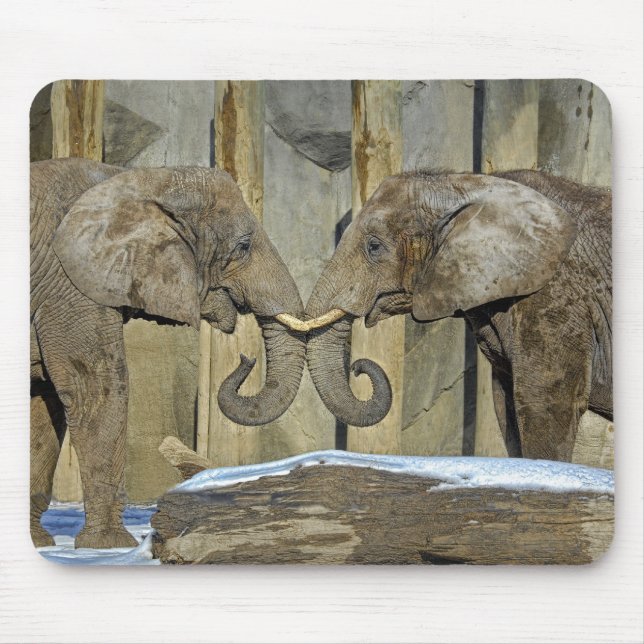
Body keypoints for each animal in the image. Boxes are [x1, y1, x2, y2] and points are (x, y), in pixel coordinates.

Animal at [30, 157, 306, 549]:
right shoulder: (70, 284)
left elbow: (44, 399)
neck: (139, 178)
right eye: (243, 247)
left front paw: (39, 544)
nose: (246, 359)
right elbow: (95, 389)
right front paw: (111, 546)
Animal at [301, 170, 612, 463]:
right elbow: (506, 404)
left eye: (374, 247)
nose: (357, 368)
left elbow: (544, 401)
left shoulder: (556, 296)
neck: (464, 184)